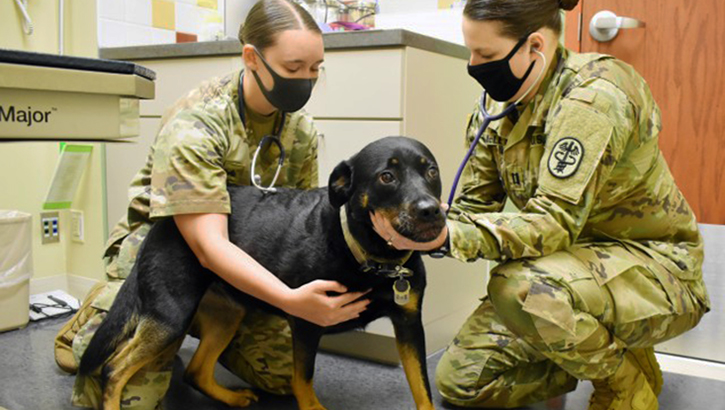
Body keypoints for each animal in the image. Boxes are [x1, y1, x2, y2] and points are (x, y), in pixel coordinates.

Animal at [78, 136, 442, 408]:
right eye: (386, 176)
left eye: (432, 172)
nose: (431, 211)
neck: (372, 256)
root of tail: (165, 222)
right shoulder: (308, 320)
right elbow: (303, 382)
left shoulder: (409, 324)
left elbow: (422, 388)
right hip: (170, 315)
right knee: (113, 369)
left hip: (227, 313)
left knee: (196, 371)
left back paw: (231, 398)